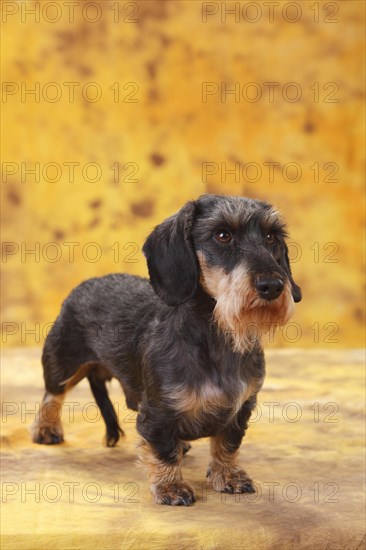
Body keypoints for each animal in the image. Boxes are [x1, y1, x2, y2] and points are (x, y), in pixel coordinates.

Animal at [31, 195, 302, 508]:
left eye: (271, 237)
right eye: (222, 235)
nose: (273, 286)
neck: (217, 338)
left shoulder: (241, 408)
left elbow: (227, 445)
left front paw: (229, 475)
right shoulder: (157, 414)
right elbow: (163, 451)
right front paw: (171, 486)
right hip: (63, 363)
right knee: (52, 395)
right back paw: (46, 429)